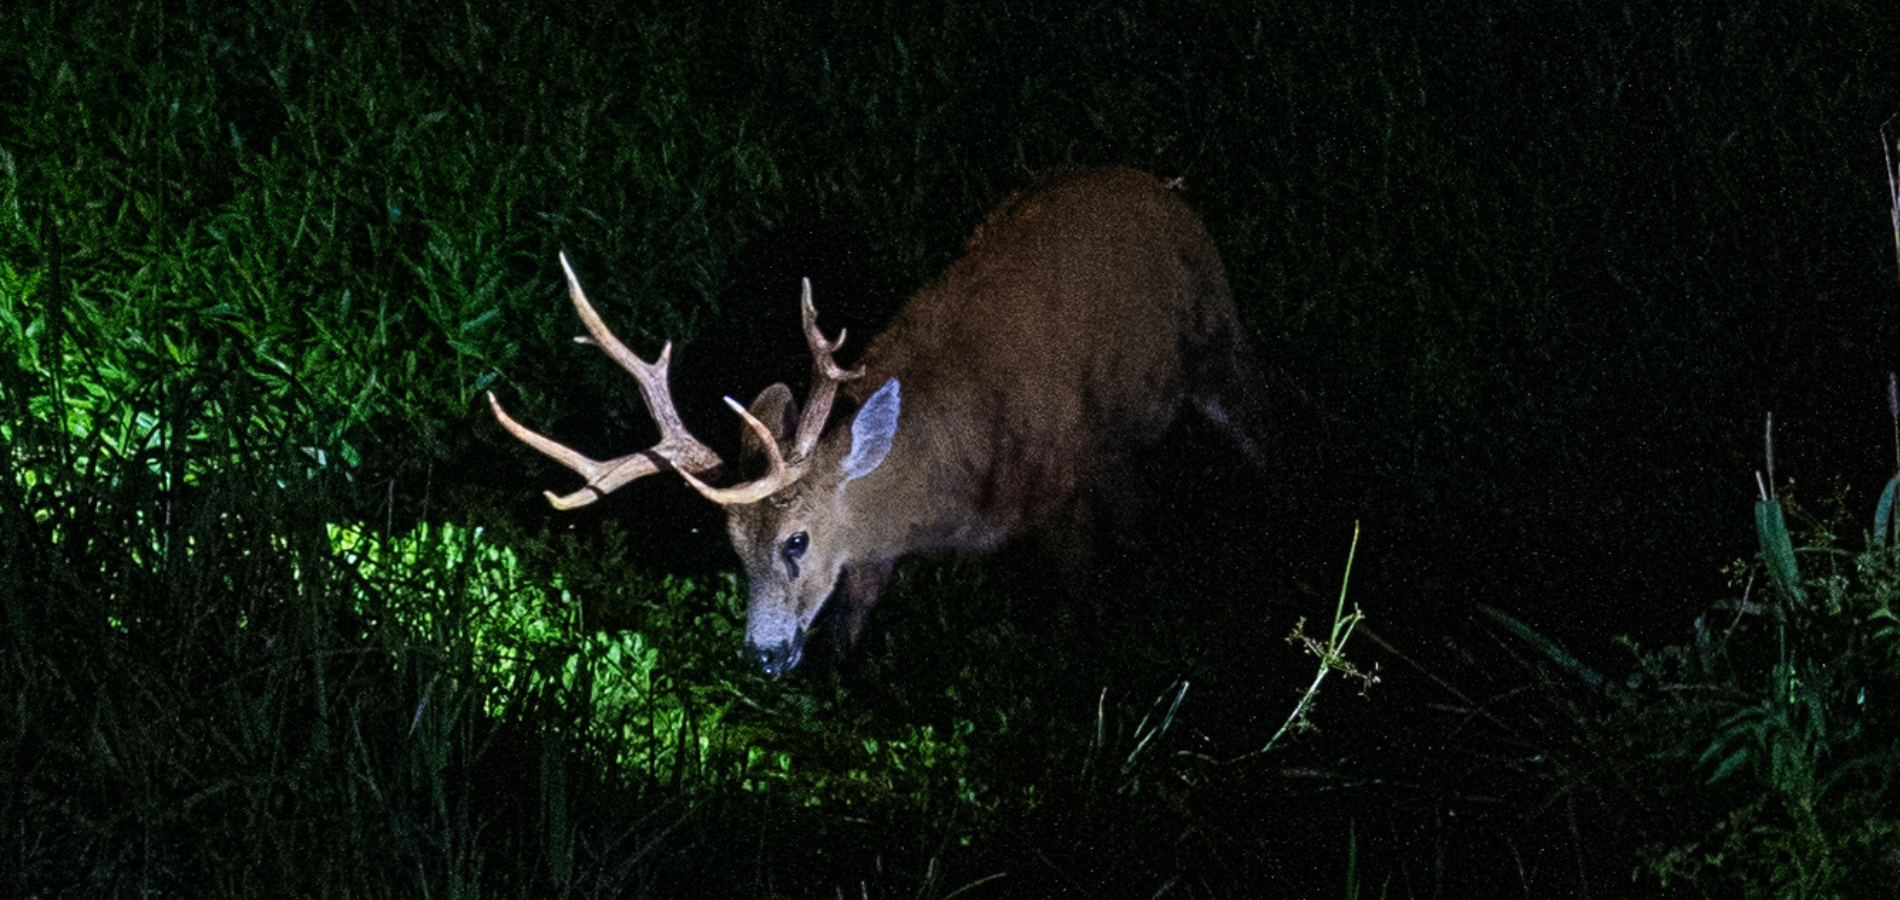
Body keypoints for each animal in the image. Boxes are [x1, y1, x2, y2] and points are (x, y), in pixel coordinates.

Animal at [489, 167, 1270, 676]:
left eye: (797, 540)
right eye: (731, 545)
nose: (764, 658)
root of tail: (1164, 189)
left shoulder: (1070, 490)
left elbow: (1079, 598)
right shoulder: (875, 553)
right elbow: (850, 622)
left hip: (1219, 345)